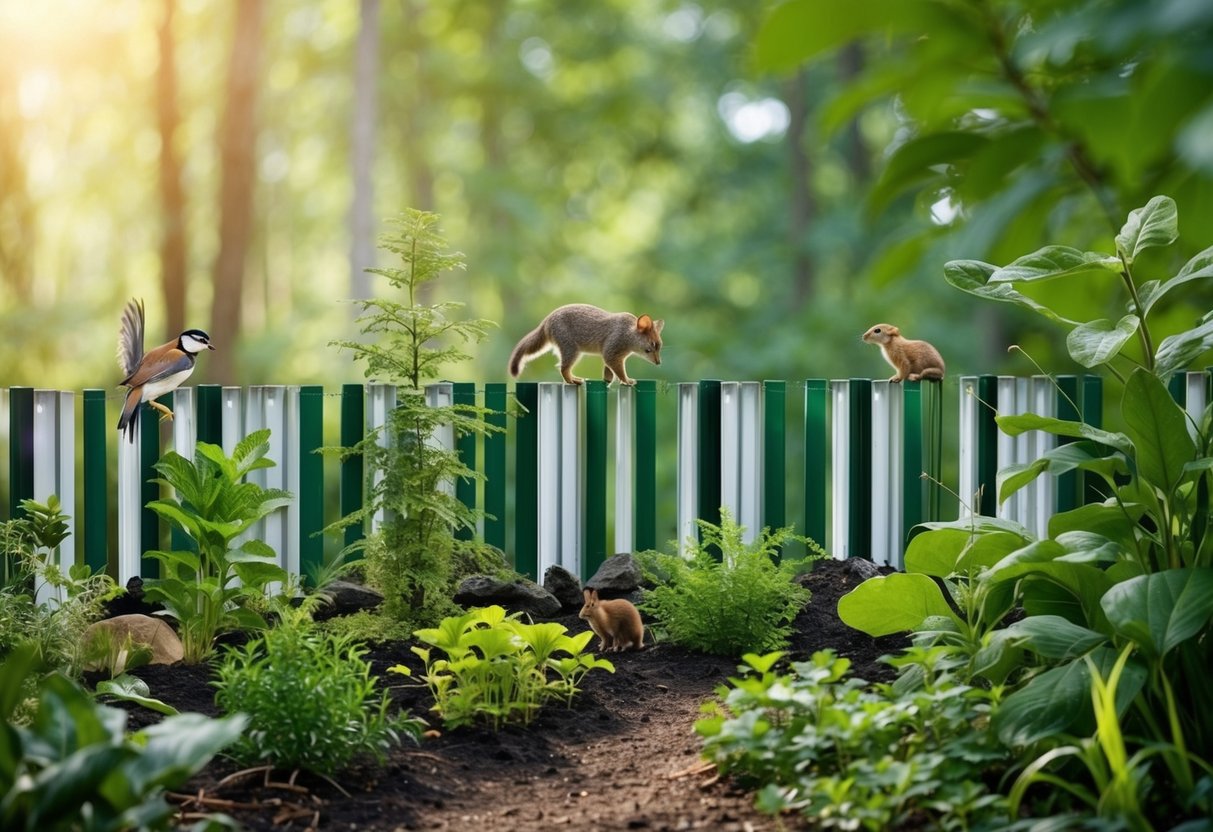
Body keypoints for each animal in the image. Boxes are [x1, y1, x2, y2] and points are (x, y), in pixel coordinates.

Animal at [509, 303, 669, 388]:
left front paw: (608, 380)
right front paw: (627, 380)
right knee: (563, 368)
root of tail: (546, 320)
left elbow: (608, 371)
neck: (627, 333)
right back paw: (572, 381)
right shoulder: (611, 352)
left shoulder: (610, 355)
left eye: (660, 346)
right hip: (571, 350)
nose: (659, 362)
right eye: (651, 346)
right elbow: (620, 372)